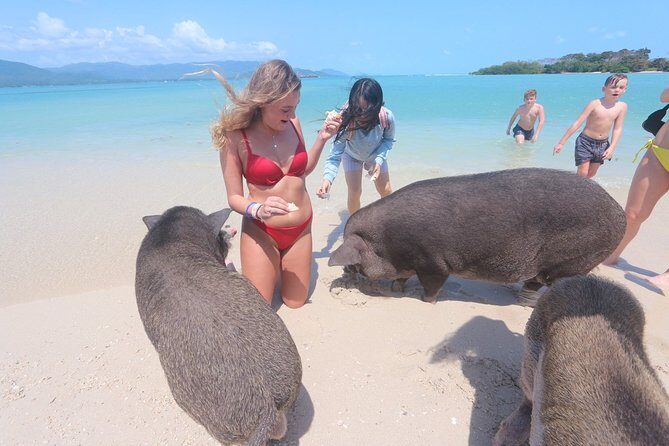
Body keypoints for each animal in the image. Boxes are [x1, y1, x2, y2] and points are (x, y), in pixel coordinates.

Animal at [329, 168, 626, 305]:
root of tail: (620, 214)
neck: (387, 243)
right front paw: (397, 290)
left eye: (355, 263)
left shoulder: (434, 263)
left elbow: (432, 286)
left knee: (547, 282)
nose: (343, 274)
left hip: (573, 260)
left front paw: (425, 301)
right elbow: (401, 278)